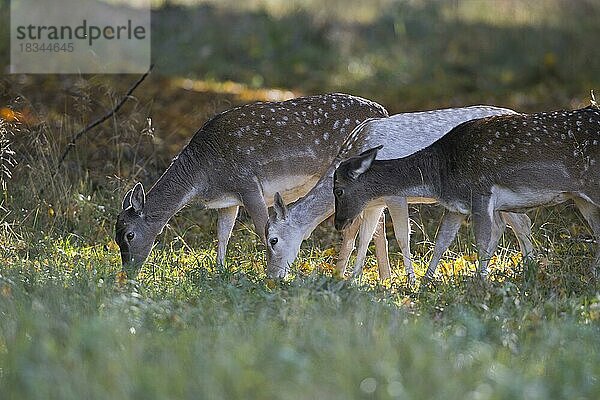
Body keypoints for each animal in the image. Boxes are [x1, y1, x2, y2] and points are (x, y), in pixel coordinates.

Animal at [116, 93, 390, 276]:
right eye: (115, 237)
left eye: (129, 234)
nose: (127, 273)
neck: (204, 176)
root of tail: (383, 111)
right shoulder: (228, 201)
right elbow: (222, 234)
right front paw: (219, 271)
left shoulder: (248, 184)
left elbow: (262, 229)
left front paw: (270, 274)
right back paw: (383, 279)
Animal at [268, 106, 536, 282]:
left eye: (273, 240)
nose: (272, 276)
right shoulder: (373, 202)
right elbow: (365, 236)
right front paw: (355, 279)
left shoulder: (394, 195)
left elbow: (401, 235)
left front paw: (410, 280)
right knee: (508, 223)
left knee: (522, 222)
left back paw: (530, 268)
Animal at [332, 104, 600, 276]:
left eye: (338, 190)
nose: (338, 223)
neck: (440, 176)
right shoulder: (457, 206)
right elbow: (442, 241)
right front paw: (426, 282)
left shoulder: (480, 192)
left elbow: (481, 241)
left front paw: (480, 283)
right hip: (582, 198)